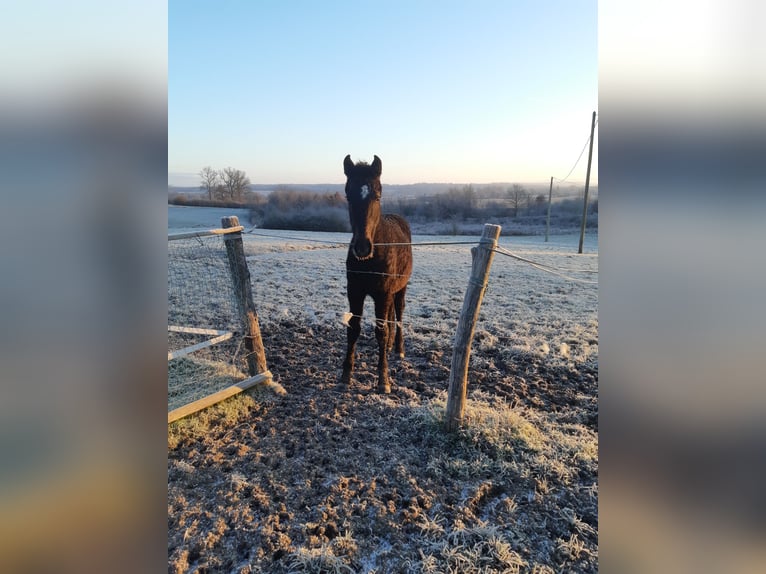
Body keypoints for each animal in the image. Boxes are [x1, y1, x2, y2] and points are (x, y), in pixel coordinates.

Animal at [341, 154, 413, 393]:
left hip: (399, 290)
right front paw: (345, 375)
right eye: (348, 194)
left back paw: (398, 348)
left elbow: (381, 332)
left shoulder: (383, 293)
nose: (362, 247)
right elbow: (353, 329)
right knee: (390, 317)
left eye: (377, 194)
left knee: (398, 314)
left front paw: (383, 381)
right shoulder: (355, 292)